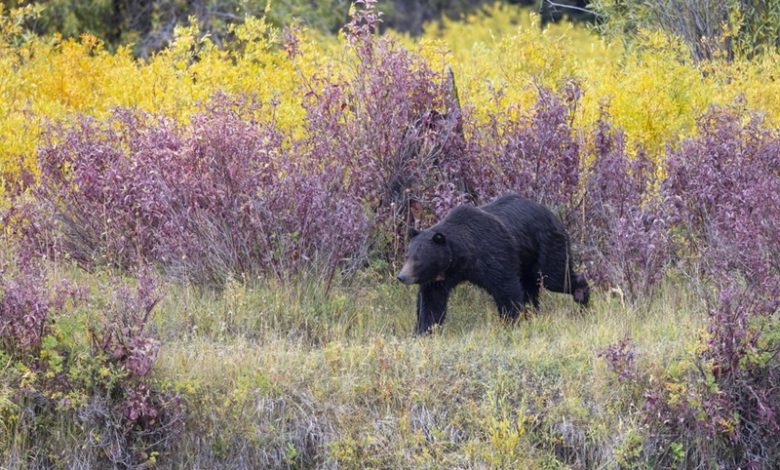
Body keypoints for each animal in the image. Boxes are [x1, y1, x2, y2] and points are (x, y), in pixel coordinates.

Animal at [397, 193, 589, 334]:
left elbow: (506, 288)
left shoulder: (493, 253)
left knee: (555, 276)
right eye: (407, 255)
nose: (402, 276)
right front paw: (424, 330)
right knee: (531, 288)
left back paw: (582, 297)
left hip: (546, 246)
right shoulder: (441, 275)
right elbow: (431, 301)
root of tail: (553, 215)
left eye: (418, 259)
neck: (462, 256)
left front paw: (512, 322)